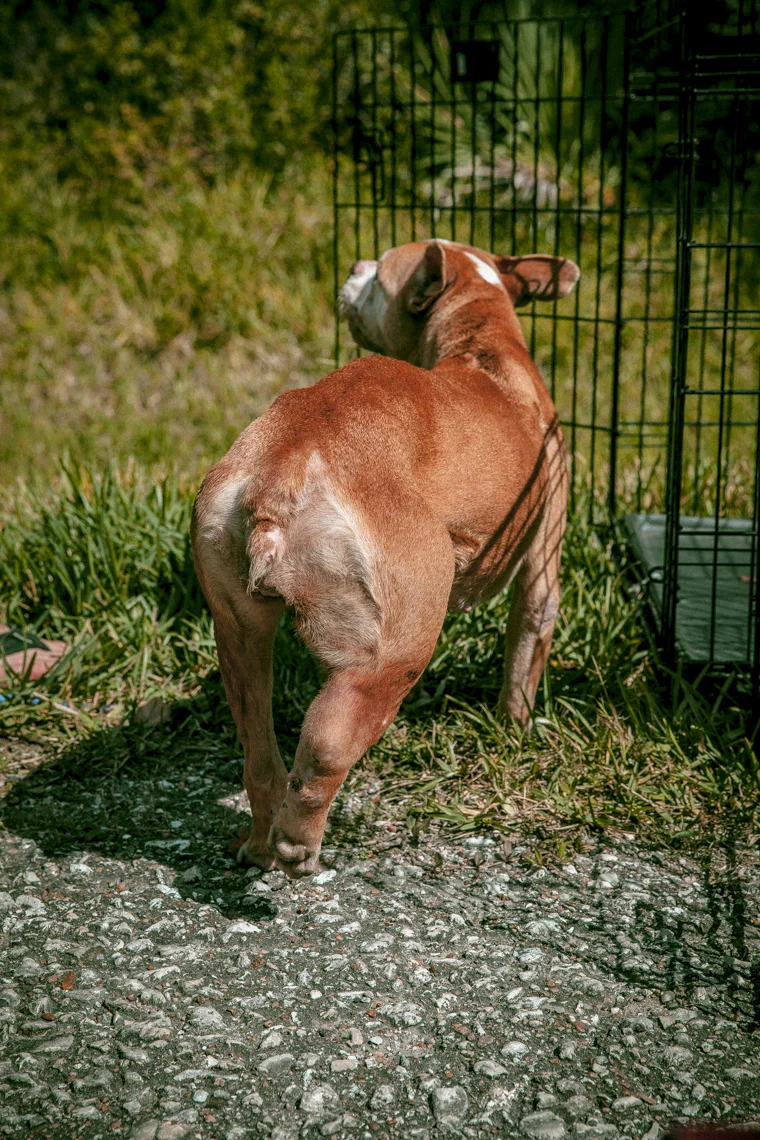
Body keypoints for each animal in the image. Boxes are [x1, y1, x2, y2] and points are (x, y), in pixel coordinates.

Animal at [192, 239, 579, 878]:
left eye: (377, 275)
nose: (355, 266)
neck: (482, 335)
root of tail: (284, 464)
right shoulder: (543, 557)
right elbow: (528, 642)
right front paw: (514, 729)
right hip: (390, 652)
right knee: (326, 748)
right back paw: (298, 846)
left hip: (238, 631)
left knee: (258, 742)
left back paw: (259, 843)